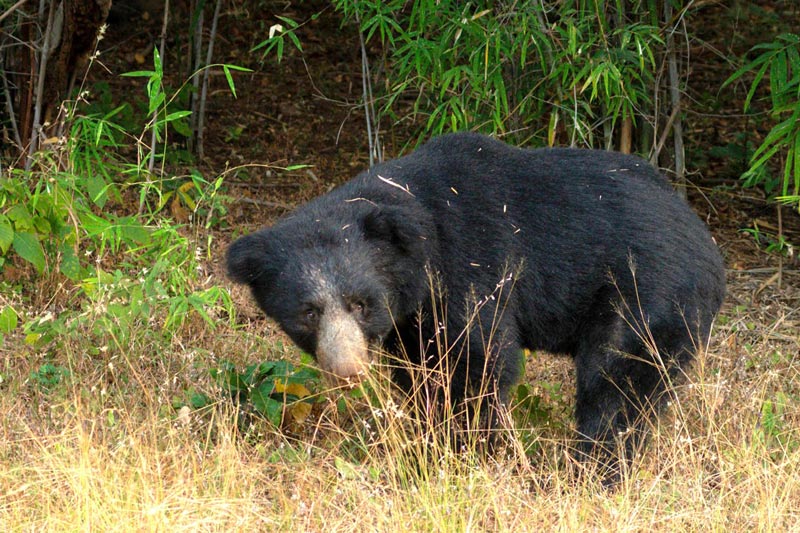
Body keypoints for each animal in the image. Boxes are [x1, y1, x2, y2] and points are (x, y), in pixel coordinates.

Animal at [226, 132, 726, 473]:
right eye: (308, 312)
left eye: (360, 304)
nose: (348, 371)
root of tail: (707, 245)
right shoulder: (413, 318)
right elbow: (422, 370)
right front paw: (426, 438)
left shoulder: (470, 268)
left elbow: (476, 363)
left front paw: (455, 450)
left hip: (646, 293)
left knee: (618, 384)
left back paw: (593, 467)